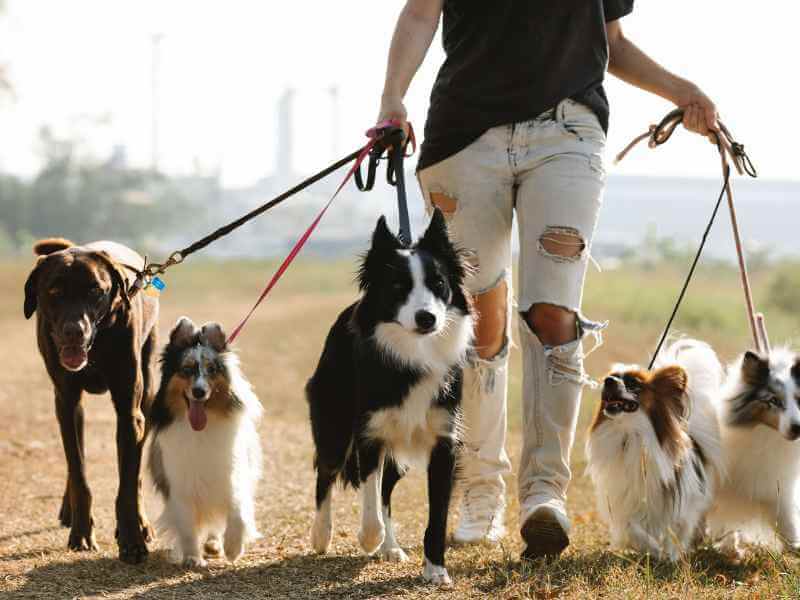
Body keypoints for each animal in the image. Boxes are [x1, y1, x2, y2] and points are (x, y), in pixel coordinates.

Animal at [147, 318, 262, 568]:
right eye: (187, 370)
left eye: (212, 370)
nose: (198, 392)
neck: (201, 431)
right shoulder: (180, 485)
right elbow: (188, 526)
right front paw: (192, 558)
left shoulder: (232, 476)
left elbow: (238, 512)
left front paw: (233, 549)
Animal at [304, 210, 468, 584]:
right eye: (397, 287)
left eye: (439, 284)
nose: (427, 318)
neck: (413, 354)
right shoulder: (370, 433)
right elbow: (368, 497)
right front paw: (369, 538)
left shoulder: (444, 440)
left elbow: (436, 514)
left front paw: (435, 569)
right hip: (334, 422)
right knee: (326, 473)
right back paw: (322, 535)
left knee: (386, 490)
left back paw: (390, 547)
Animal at [584, 340, 720, 560]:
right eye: (611, 377)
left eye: (634, 384)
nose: (607, 380)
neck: (630, 435)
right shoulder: (625, 500)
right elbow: (632, 528)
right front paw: (653, 549)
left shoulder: (682, 502)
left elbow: (676, 530)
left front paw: (671, 556)